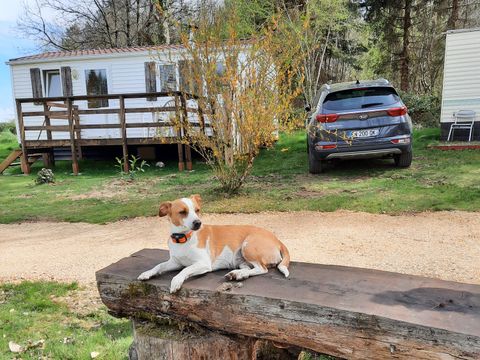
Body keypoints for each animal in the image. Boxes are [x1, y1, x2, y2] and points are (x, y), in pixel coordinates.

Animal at [137, 194, 290, 292]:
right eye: (182, 212)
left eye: (197, 210)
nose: (198, 223)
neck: (183, 238)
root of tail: (277, 240)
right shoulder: (175, 262)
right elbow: (159, 265)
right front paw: (147, 273)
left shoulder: (203, 263)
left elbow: (185, 270)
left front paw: (176, 280)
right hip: (241, 259)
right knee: (249, 269)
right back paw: (238, 274)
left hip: (248, 246)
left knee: (262, 269)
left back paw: (239, 274)